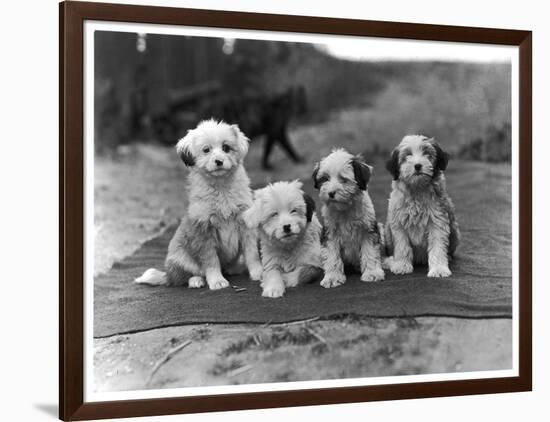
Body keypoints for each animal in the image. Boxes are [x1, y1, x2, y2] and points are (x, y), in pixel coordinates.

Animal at [135, 119, 262, 290]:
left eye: (226, 148)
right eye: (206, 150)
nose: (219, 161)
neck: (221, 187)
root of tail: (167, 274)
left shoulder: (245, 224)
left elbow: (251, 252)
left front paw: (258, 273)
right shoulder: (204, 230)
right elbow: (211, 260)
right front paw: (217, 281)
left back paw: (234, 268)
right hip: (181, 258)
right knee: (183, 277)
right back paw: (196, 281)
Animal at [312, 148, 386, 286]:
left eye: (343, 179)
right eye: (325, 179)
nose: (331, 193)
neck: (345, 210)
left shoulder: (368, 231)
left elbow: (370, 252)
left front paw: (372, 273)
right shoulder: (330, 234)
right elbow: (332, 256)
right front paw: (332, 277)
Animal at [386, 134, 464, 276]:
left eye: (427, 153)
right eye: (407, 155)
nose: (418, 166)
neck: (417, 189)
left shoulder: (438, 222)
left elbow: (438, 247)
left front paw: (439, 269)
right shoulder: (398, 224)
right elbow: (402, 246)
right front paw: (401, 265)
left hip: (455, 231)